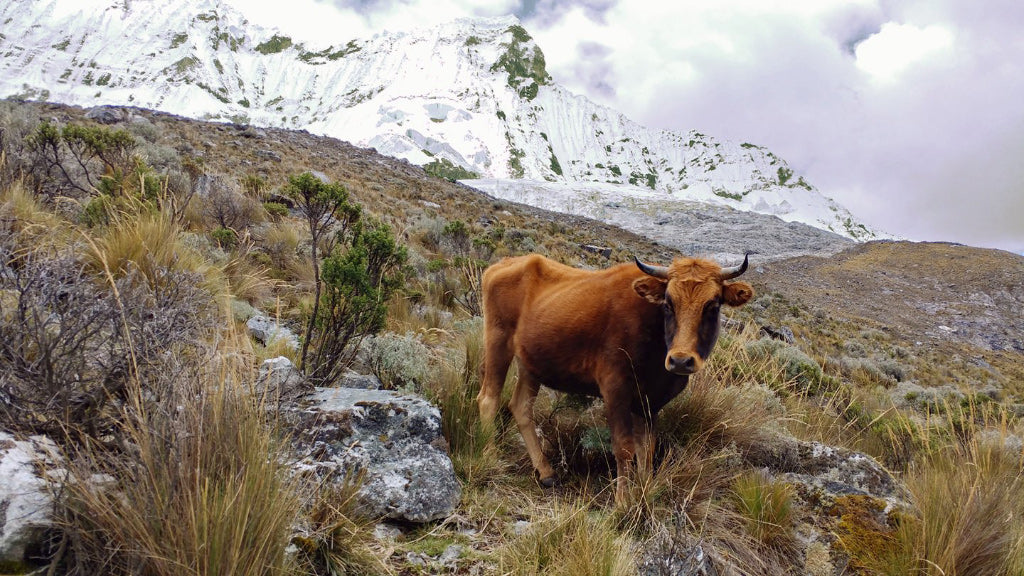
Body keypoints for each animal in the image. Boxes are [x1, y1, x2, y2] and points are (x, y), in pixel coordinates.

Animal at [477, 253, 753, 500]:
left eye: (713, 305)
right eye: (668, 303)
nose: (681, 360)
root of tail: (504, 264)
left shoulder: (649, 402)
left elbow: (646, 449)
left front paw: (644, 491)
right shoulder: (616, 389)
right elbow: (623, 447)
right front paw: (622, 502)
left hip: (530, 363)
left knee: (521, 407)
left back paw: (546, 472)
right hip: (498, 340)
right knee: (488, 399)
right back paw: (489, 455)